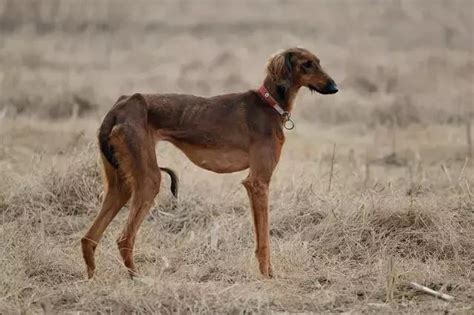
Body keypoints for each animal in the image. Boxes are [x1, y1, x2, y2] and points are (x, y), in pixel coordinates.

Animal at [83, 47, 338, 278]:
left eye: (318, 62)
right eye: (307, 64)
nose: (334, 87)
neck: (268, 104)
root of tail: (120, 106)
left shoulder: (254, 185)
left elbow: (260, 237)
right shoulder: (258, 182)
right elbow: (265, 239)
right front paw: (267, 277)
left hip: (121, 186)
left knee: (89, 238)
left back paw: (93, 278)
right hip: (149, 180)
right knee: (124, 238)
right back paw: (138, 278)